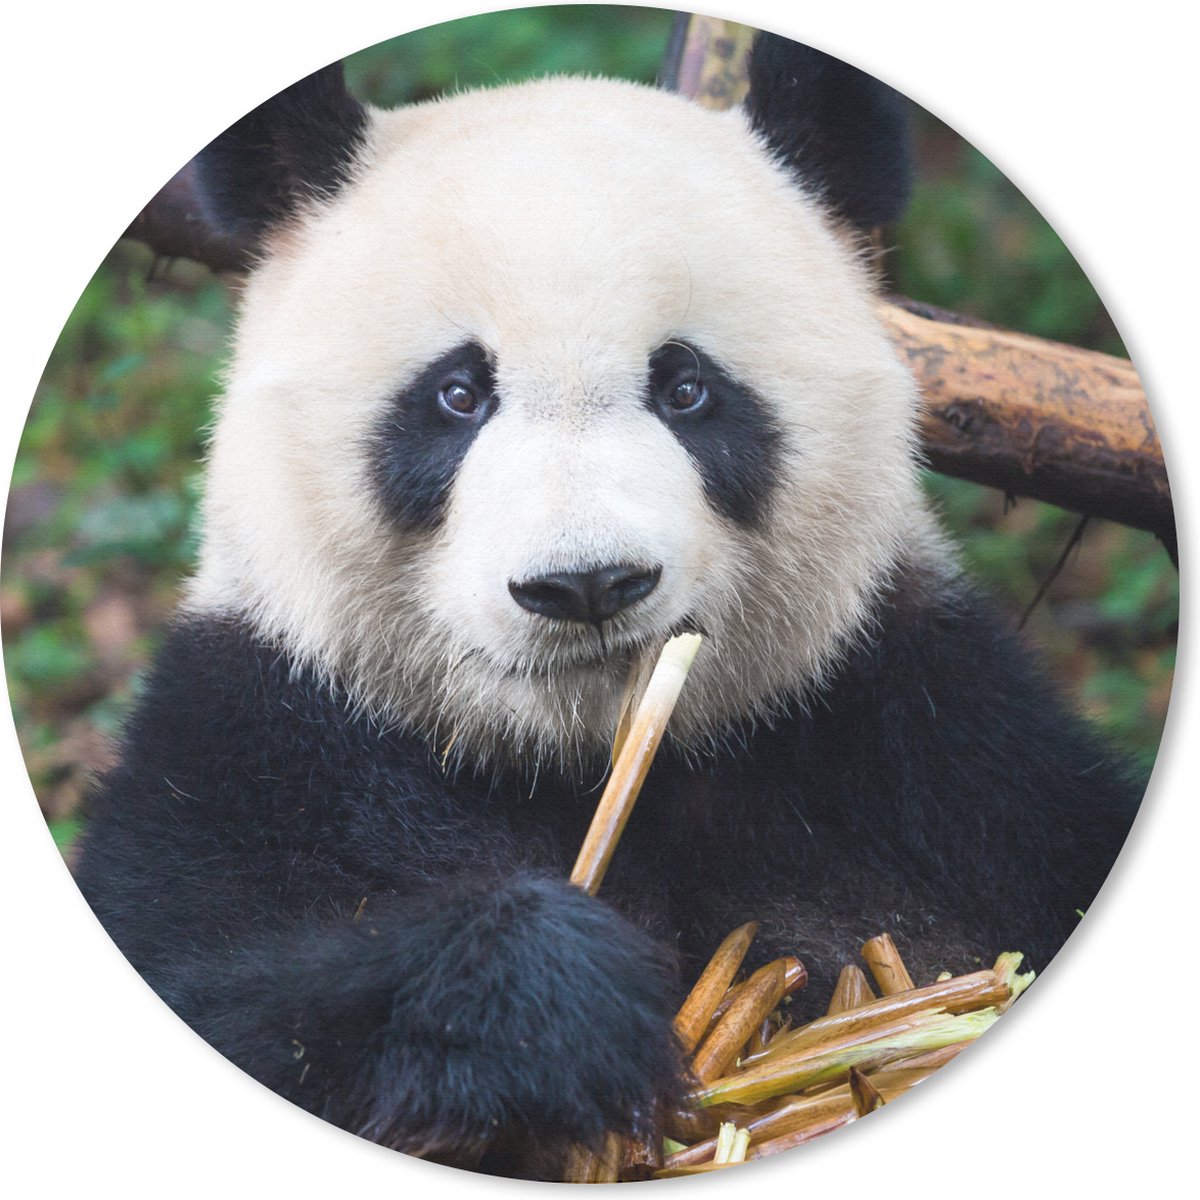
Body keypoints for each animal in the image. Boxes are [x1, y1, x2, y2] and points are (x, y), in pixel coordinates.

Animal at [71, 31, 1140, 1176]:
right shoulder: (258, 748)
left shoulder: (930, 747)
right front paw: (547, 1001)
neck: (579, 762)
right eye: (458, 394)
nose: (586, 584)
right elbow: (226, 988)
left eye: (687, 387)